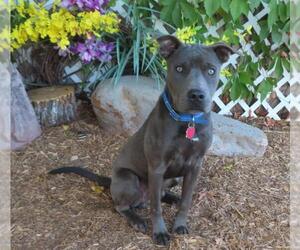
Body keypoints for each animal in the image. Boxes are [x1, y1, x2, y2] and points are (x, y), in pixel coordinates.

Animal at [50, 35, 234, 246]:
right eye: (179, 68)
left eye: (211, 70)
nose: (196, 94)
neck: (189, 121)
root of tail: (111, 180)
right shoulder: (156, 167)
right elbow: (156, 207)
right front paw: (160, 232)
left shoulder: (195, 166)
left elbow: (186, 201)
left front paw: (180, 224)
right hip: (129, 179)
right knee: (124, 206)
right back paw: (136, 219)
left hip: (173, 178)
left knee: (162, 195)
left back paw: (173, 198)